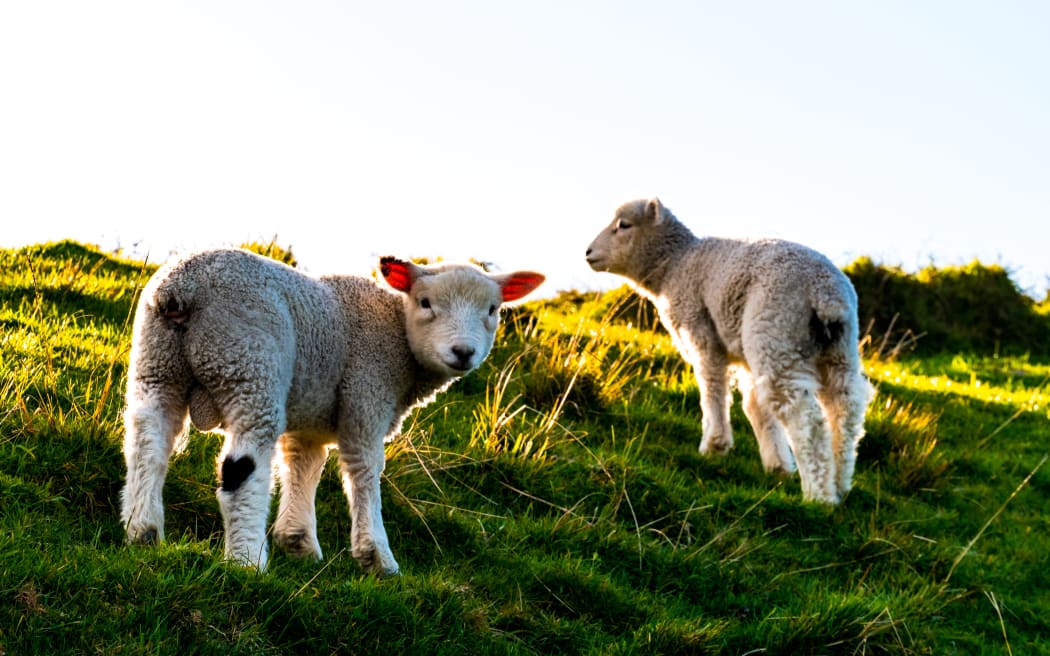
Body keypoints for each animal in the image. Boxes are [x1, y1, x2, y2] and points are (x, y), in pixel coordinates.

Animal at [120, 248, 545, 573]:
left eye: (492, 309)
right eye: (426, 303)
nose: (463, 353)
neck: (398, 333)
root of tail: (182, 290)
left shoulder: (311, 417)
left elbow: (304, 466)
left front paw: (298, 543)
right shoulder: (366, 397)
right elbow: (365, 471)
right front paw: (378, 559)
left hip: (157, 365)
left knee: (147, 447)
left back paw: (143, 532)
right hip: (249, 365)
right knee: (241, 472)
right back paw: (247, 562)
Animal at [585, 198, 872, 504]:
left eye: (624, 225)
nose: (588, 253)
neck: (675, 265)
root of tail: (825, 292)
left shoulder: (700, 330)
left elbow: (712, 387)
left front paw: (714, 445)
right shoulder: (744, 353)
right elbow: (755, 406)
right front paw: (777, 465)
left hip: (775, 331)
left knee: (804, 416)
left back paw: (818, 495)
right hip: (833, 349)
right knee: (846, 409)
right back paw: (839, 483)